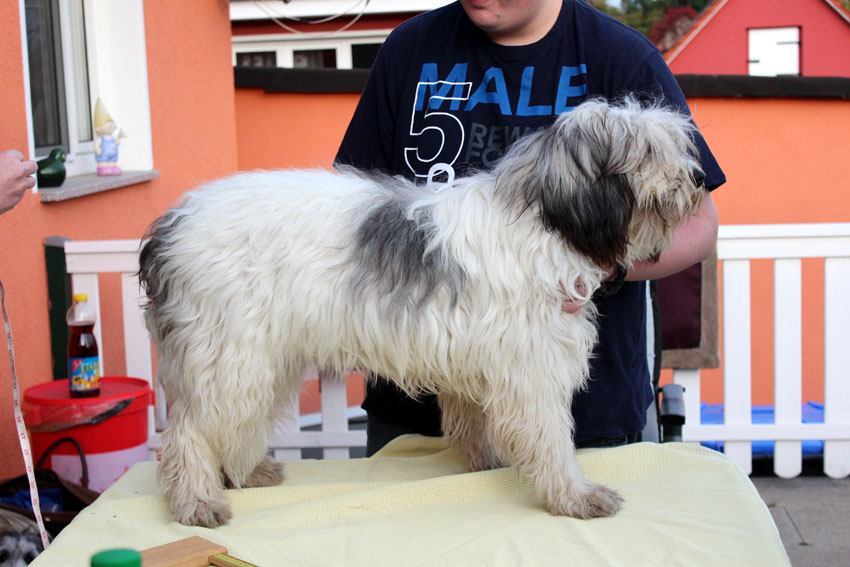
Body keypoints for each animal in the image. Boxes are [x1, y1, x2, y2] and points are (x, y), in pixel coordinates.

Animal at [138, 98, 705, 528]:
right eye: (647, 151)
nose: (697, 179)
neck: (544, 218)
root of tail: (169, 227)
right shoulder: (532, 367)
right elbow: (550, 439)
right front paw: (573, 496)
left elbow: (481, 425)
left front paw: (488, 465)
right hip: (229, 355)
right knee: (188, 434)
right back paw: (197, 501)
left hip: (257, 356)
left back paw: (246, 473)